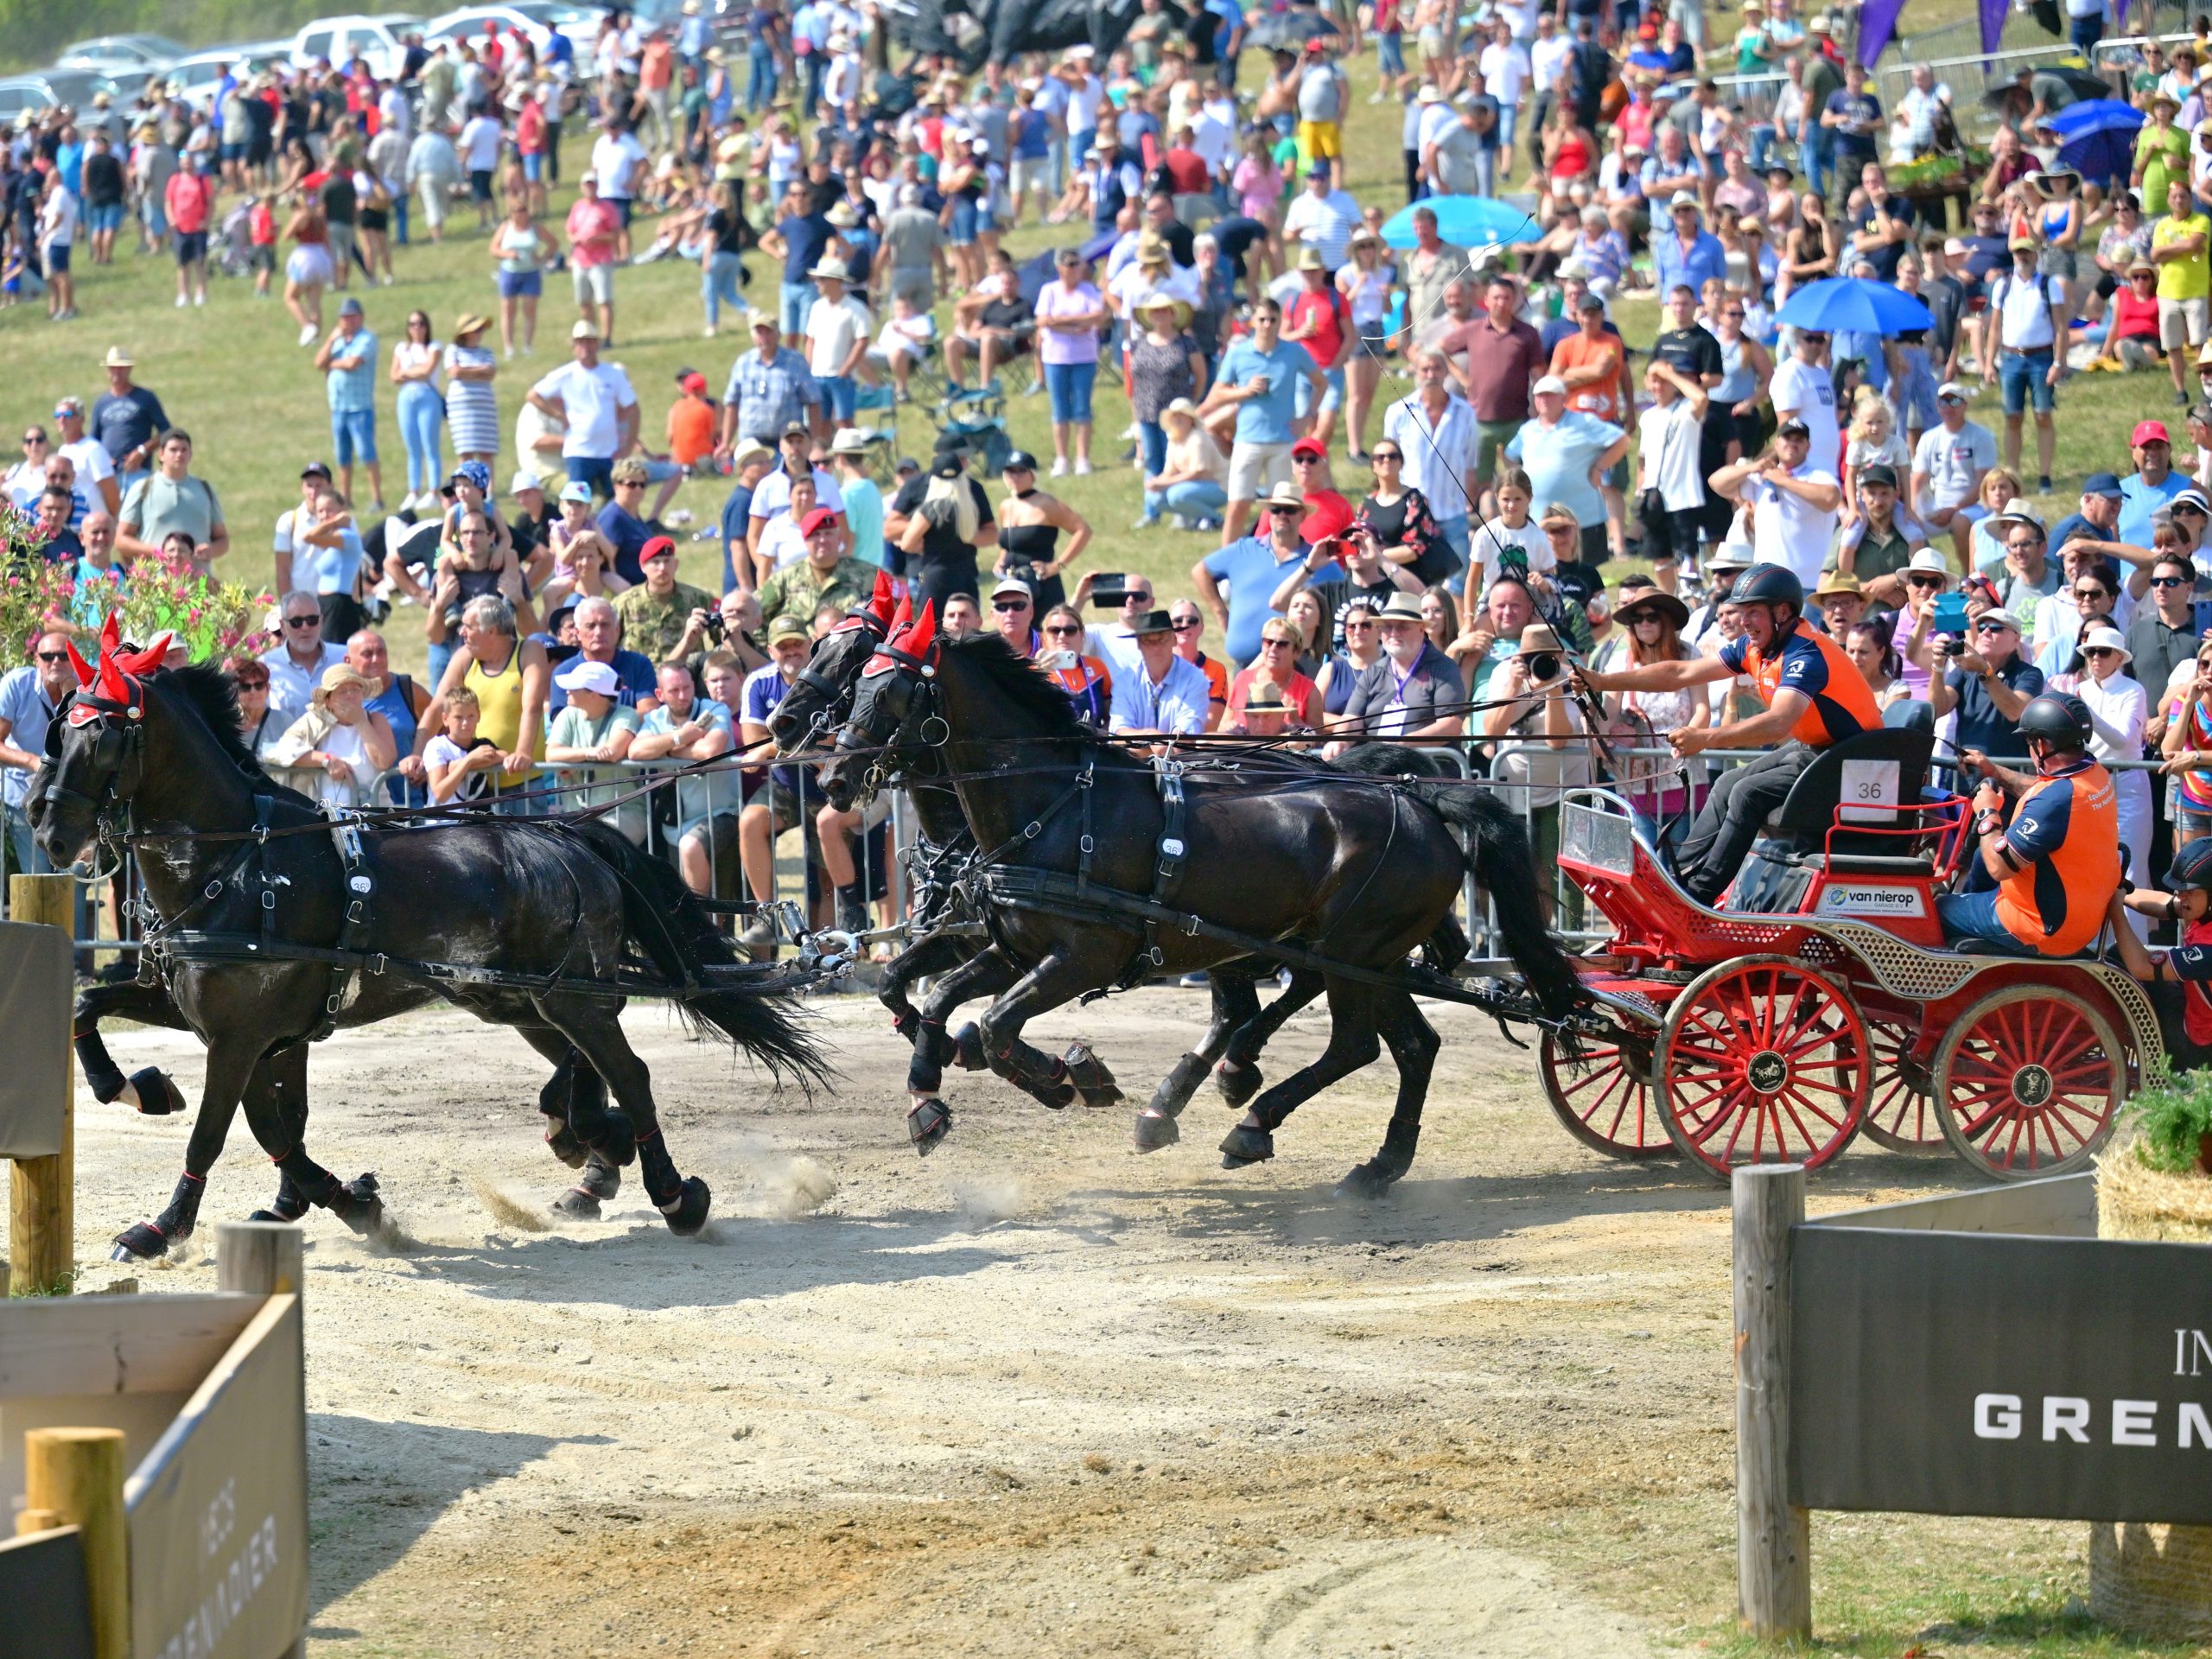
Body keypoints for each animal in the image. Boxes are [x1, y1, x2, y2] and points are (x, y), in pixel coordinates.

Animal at [32, 632, 831, 1256]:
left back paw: (672, 1195)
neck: (239, 864)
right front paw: (138, 1089)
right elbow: (93, 1010)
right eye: (58, 728)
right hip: (521, 1002)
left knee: (629, 1074)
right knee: (585, 1070)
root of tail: (572, 838)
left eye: (102, 735)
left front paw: (161, 1227)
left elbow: (224, 1132)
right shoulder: (233, 1022)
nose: (47, 830)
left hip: (573, 997)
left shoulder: (240, 1035)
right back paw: (590, 1146)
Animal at [823, 610, 1583, 1194]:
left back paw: (1248, 1119)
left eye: (888, 694)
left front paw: (1066, 1077)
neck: (1055, 805)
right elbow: (933, 995)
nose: (830, 778)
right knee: (1410, 1046)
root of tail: (1423, 799)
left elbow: (991, 1024)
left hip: (1349, 953)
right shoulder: (1009, 945)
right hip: (1372, 960)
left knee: (1352, 1043)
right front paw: (930, 1096)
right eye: (853, 687)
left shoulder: (1080, 957)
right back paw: (1375, 1160)